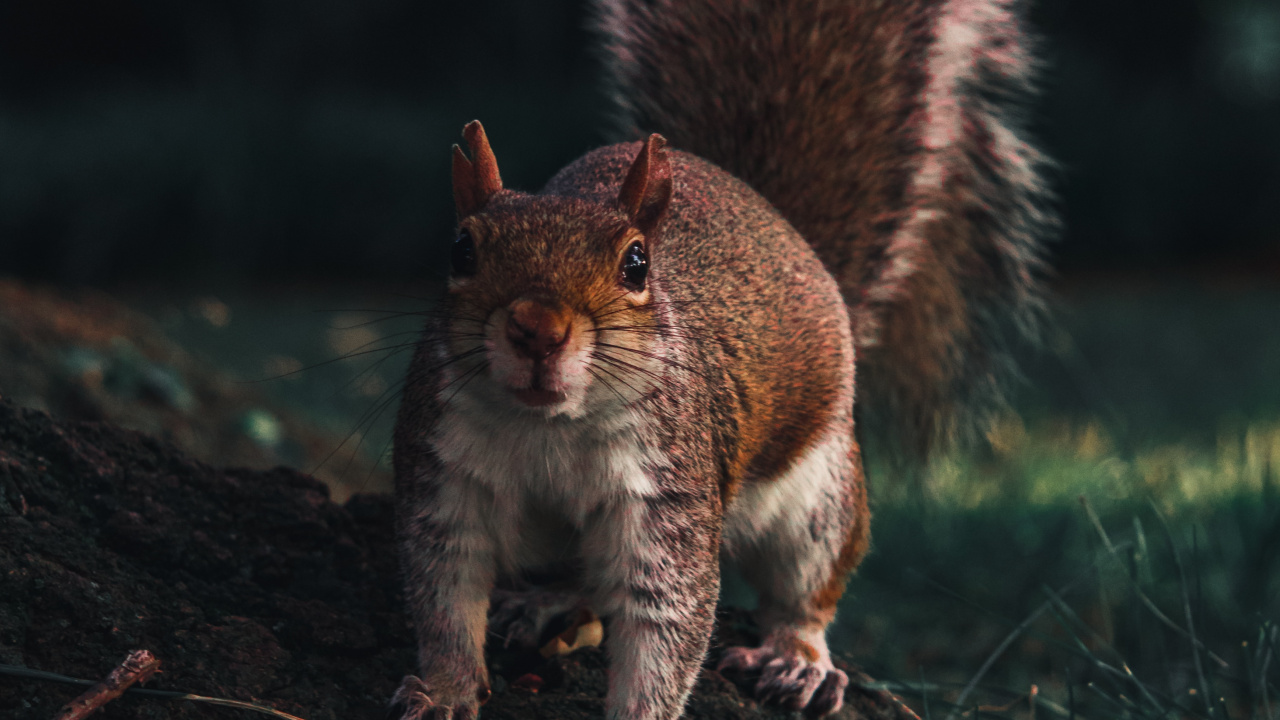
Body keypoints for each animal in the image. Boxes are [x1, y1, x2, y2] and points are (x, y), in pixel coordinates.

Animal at [389, 0, 1053, 718]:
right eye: (461, 250)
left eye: (636, 263)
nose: (537, 328)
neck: (548, 426)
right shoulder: (442, 474)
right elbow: (444, 596)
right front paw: (445, 691)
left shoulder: (670, 492)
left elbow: (666, 618)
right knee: (584, 581)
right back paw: (548, 602)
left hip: (820, 497)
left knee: (805, 590)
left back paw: (797, 660)